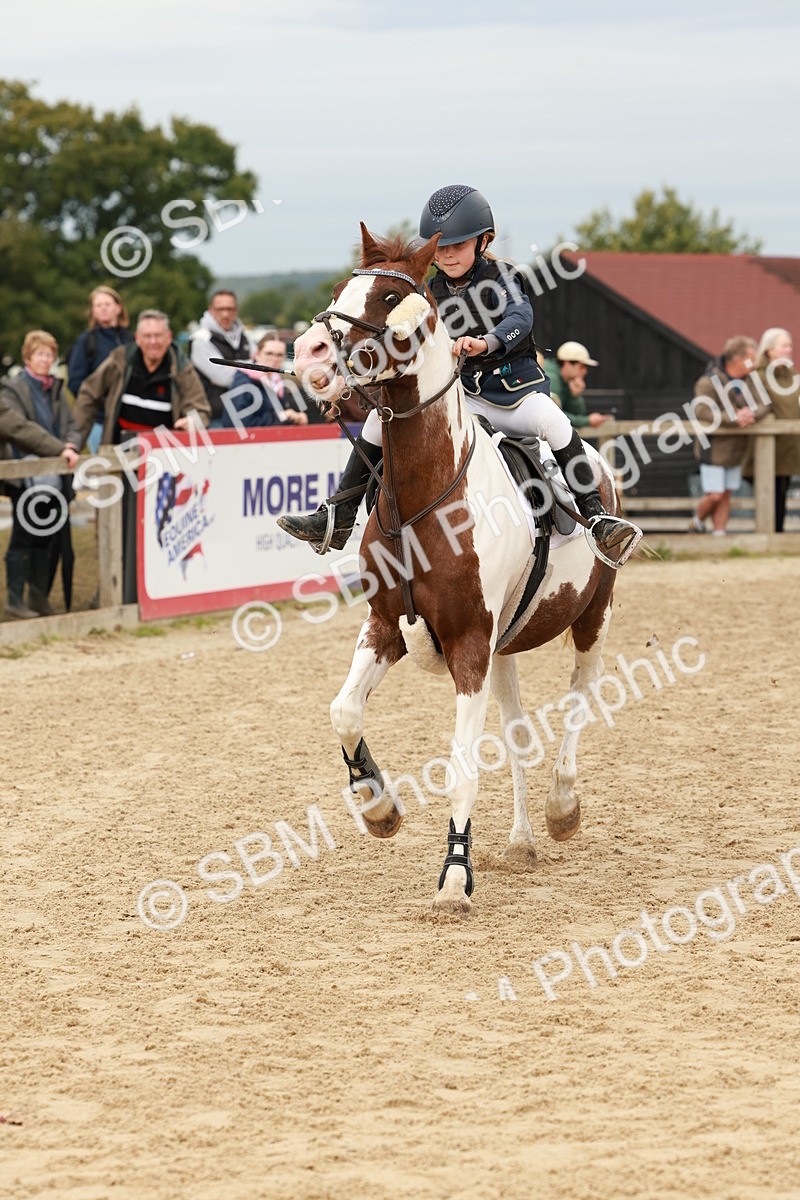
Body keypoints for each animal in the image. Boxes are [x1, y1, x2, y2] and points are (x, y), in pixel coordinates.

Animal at [292, 225, 623, 914]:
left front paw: (454, 874)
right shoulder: (386, 625)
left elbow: (464, 765)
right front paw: (378, 806)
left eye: (390, 297)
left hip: (592, 617)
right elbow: (344, 712)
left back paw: (562, 806)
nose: (309, 351)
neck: (427, 496)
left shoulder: (469, 643)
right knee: (519, 732)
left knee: (581, 696)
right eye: (339, 290)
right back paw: (522, 841)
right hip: (506, 648)